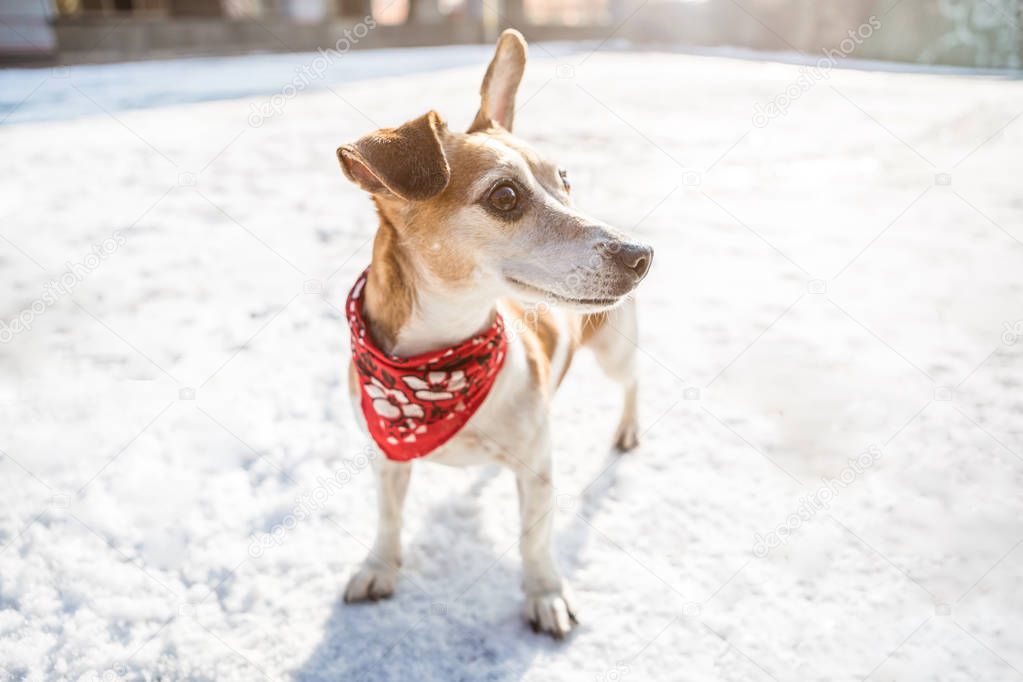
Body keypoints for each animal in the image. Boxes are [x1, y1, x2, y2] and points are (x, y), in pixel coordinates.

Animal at [339, 29, 650, 642]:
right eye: (504, 196)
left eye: (565, 181)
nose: (641, 254)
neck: (439, 365)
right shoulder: (388, 457)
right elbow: (389, 517)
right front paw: (379, 567)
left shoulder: (538, 469)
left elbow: (536, 540)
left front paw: (545, 594)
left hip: (614, 349)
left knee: (631, 383)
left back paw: (627, 429)